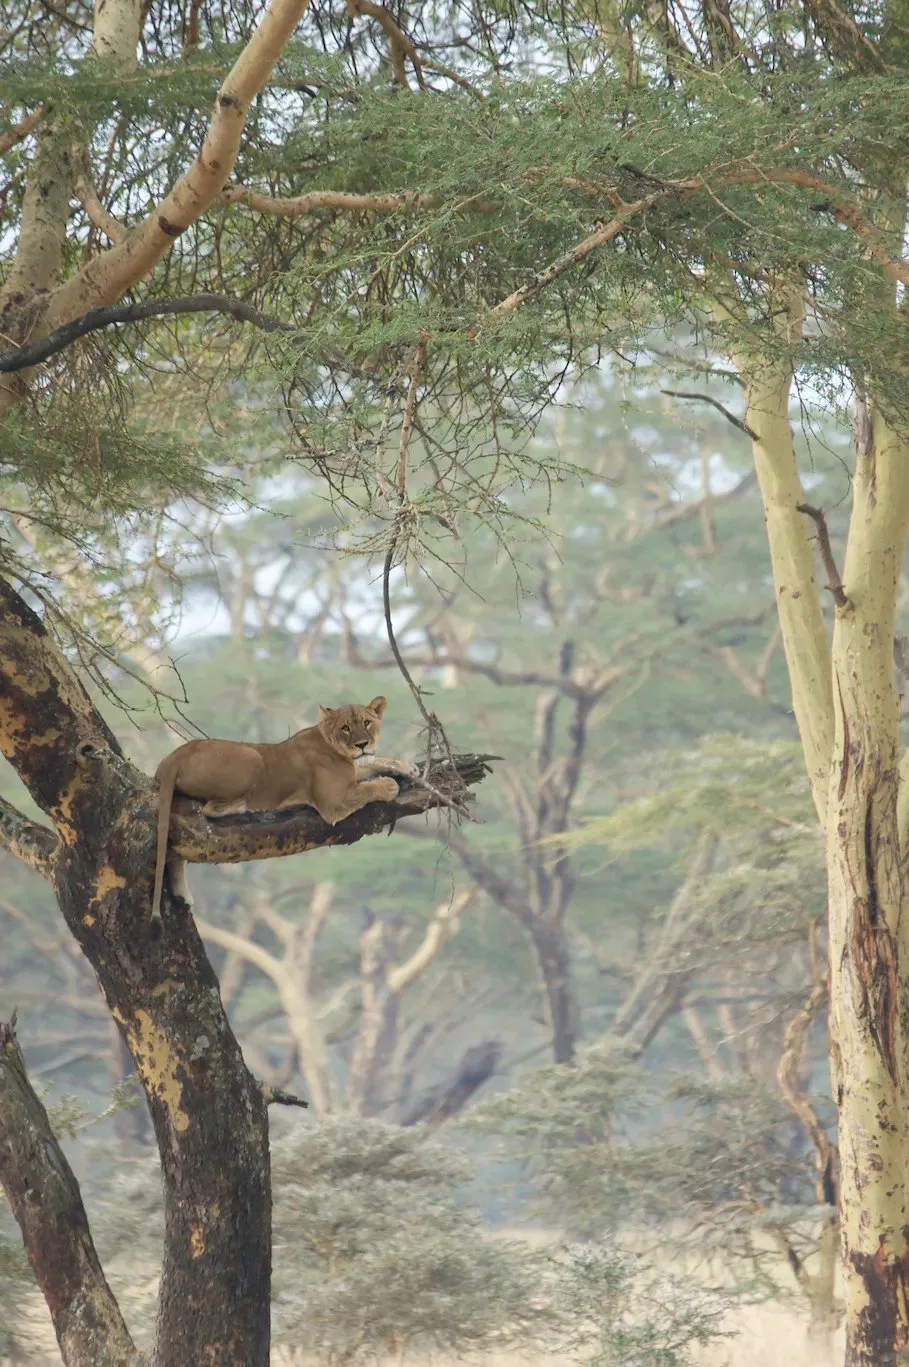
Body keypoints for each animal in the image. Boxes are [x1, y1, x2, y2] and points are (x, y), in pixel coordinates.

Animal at [151, 696, 416, 924]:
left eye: (366, 723)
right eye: (345, 727)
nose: (362, 745)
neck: (334, 746)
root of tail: (173, 756)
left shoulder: (352, 774)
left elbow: (376, 761)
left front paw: (406, 766)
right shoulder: (333, 803)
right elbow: (367, 788)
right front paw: (388, 785)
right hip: (251, 755)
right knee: (210, 809)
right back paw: (247, 809)